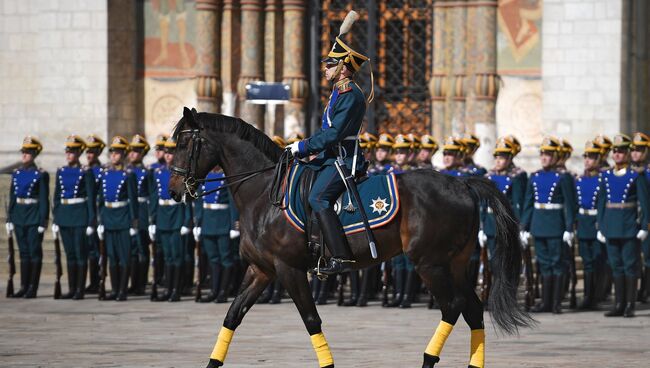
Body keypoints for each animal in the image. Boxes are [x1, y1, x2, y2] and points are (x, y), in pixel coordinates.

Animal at [166, 108, 532, 368]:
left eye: (184, 144)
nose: (173, 190)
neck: (266, 192)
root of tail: (462, 183)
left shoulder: (288, 269)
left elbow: (311, 320)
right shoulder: (262, 270)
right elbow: (232, 315)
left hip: (430, 264)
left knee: (452, 307)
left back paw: (428, 359)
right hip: (455, 264)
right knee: (472, 309)